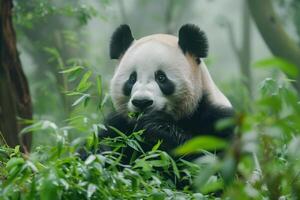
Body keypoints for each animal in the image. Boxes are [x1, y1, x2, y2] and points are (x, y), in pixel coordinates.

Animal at [99, 23, 233, 162]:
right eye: (132, 79)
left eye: (161, 77)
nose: (142, 102)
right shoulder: (118, 126)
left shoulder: (218, 119)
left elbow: (209, 153)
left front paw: (156, 126)